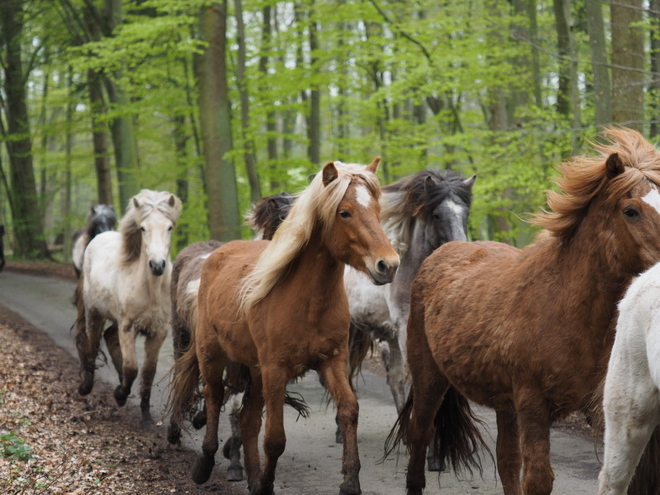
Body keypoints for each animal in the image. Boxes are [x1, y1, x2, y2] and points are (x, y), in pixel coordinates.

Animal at [73, 188, 180, 428]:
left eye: (169, 227)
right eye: (143, 228)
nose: (157, 265)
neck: (150, 289)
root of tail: (99, 237)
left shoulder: (158, 331)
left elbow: (148, 372)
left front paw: (147, 417)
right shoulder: (128, 327)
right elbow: (132, 368)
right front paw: (120, 394)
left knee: (109, 337)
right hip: (94, 314)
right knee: (91, 343)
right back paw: (86, 386)